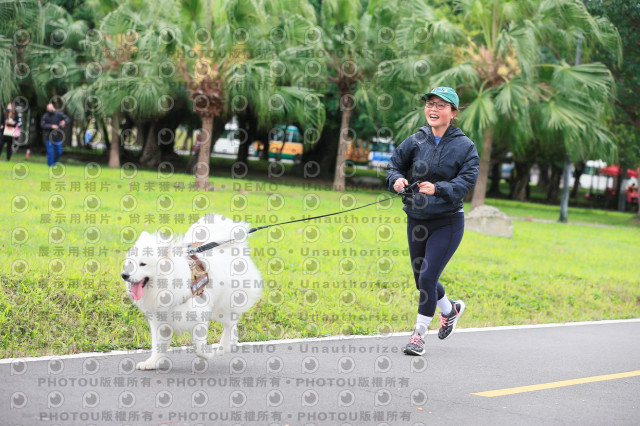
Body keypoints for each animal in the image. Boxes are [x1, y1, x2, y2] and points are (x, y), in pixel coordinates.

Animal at [121, 213, 263, 370]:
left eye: (143, 264)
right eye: (130, 263)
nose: (124, 275)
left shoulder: (198, 314)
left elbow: (198, 347)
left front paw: (207, 354)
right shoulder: (160, 320)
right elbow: (158, 345)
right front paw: (152, 363)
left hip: (223, 304)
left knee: (230, 322)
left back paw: (224, 346)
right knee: (233, 322)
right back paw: (232, 342)